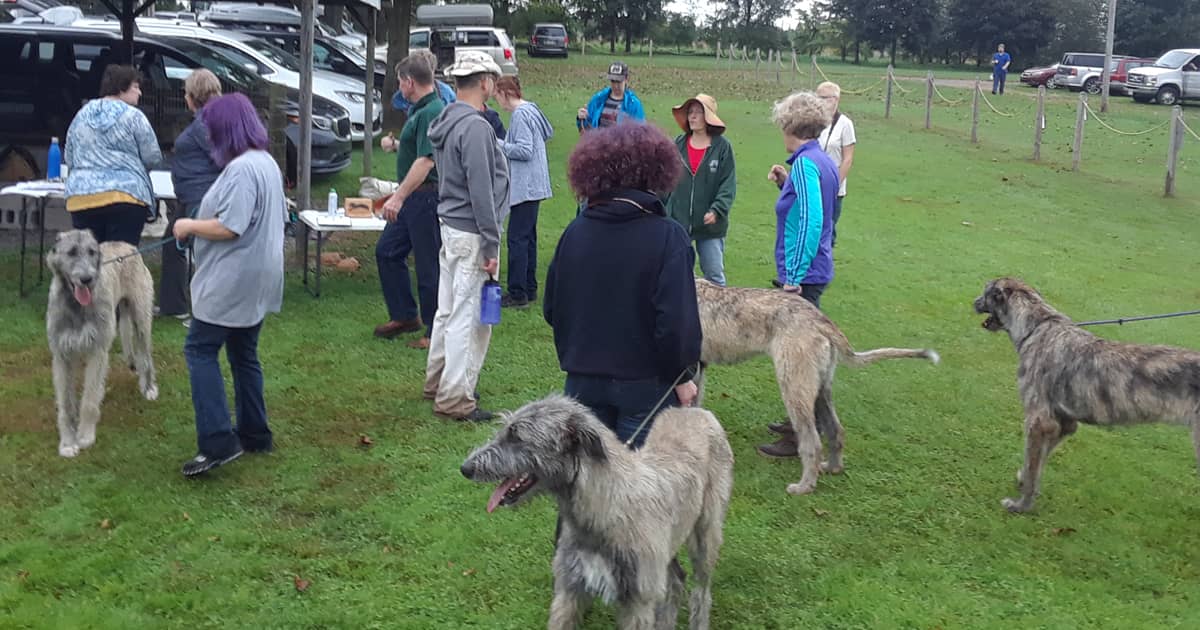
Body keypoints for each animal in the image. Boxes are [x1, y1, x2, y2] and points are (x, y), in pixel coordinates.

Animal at [45, 228, 156, 453]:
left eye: (92, 252)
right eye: (71, 252)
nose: (86, 279)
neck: (76, 306)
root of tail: (129, 246)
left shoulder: (97, 350)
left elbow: (89, 398)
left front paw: (85, 436)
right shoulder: (61, 355)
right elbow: (66, 403)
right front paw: (68, 442)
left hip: (141, 318)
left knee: (146, 355)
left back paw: (148, 388)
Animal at [463, 396, 734, 624]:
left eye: (517, 436)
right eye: (505, 430)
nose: (465, 468)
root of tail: (695, 410)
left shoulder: (638, 601)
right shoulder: (569, 591)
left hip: (705, 536)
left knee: (701, 592)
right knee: (677, 580)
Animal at [696, 280, 936, 496]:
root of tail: (821, 321)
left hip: (794, 386)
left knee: (812, 442)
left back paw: (804, 486)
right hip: (820, 387)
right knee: (835, 429)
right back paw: (832, 468)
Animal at [979, 277, 1200, 513]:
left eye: (985, 292)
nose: (974, 302)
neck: (1037, 327)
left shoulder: (1039, 421)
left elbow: (1033, 463)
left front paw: (1021, 504)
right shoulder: (1064, 422)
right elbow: (1039, 460)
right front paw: (1024, 481)